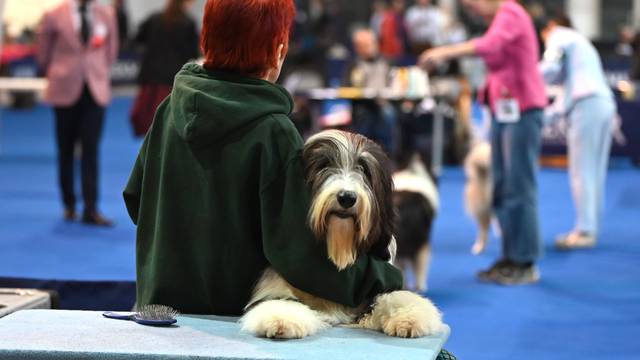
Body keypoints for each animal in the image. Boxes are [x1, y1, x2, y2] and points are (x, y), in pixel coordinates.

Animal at [238, 131, 442, 338]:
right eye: (324, 165)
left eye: (364, 169)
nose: (347, 197)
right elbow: (280, 301)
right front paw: (280, 319)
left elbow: (393, 296)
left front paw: (409, 317)